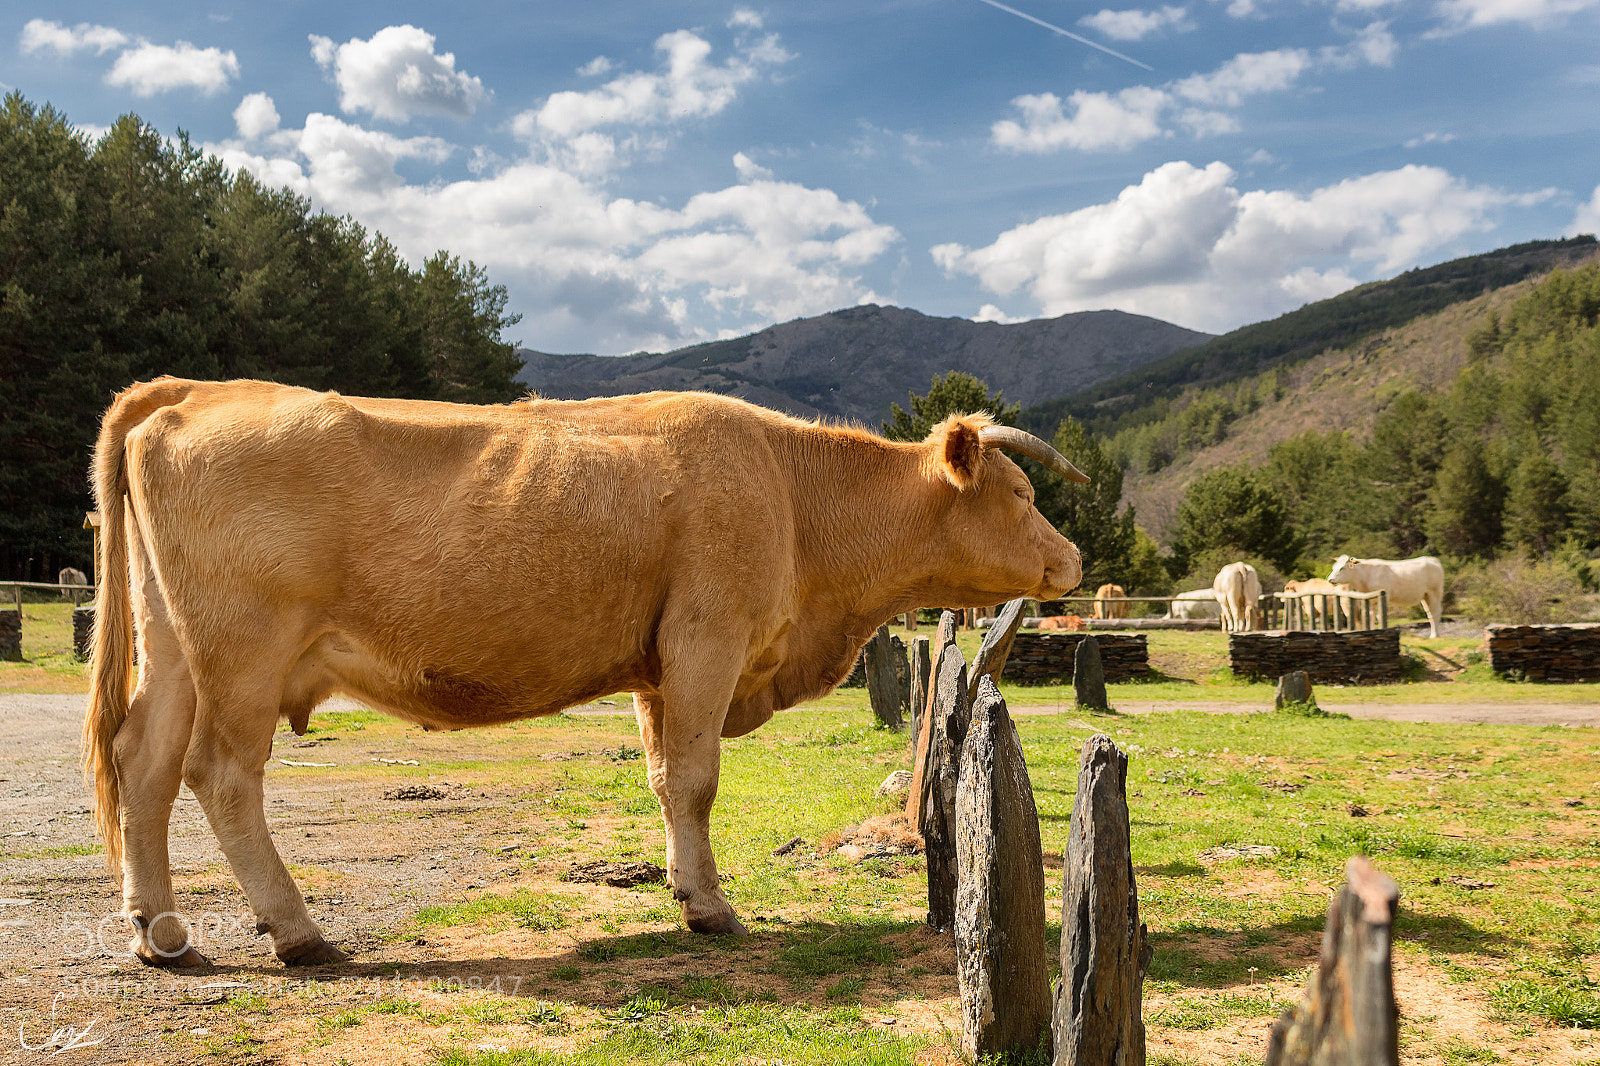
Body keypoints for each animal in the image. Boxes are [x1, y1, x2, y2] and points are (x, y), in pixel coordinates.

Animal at [84, 378, 1087, 969]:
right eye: (1023, 493)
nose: (1073, 559)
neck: (795, 494)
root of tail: (195, 392)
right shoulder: (707, 639)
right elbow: (696, 780)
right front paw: (710, 908)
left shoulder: (657, 669)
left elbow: (663, 778)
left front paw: (685, 888)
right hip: (245, 650)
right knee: (219, 774)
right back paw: (298, 932)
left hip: (176, 651)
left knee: (143, 763)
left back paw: (159, 930)